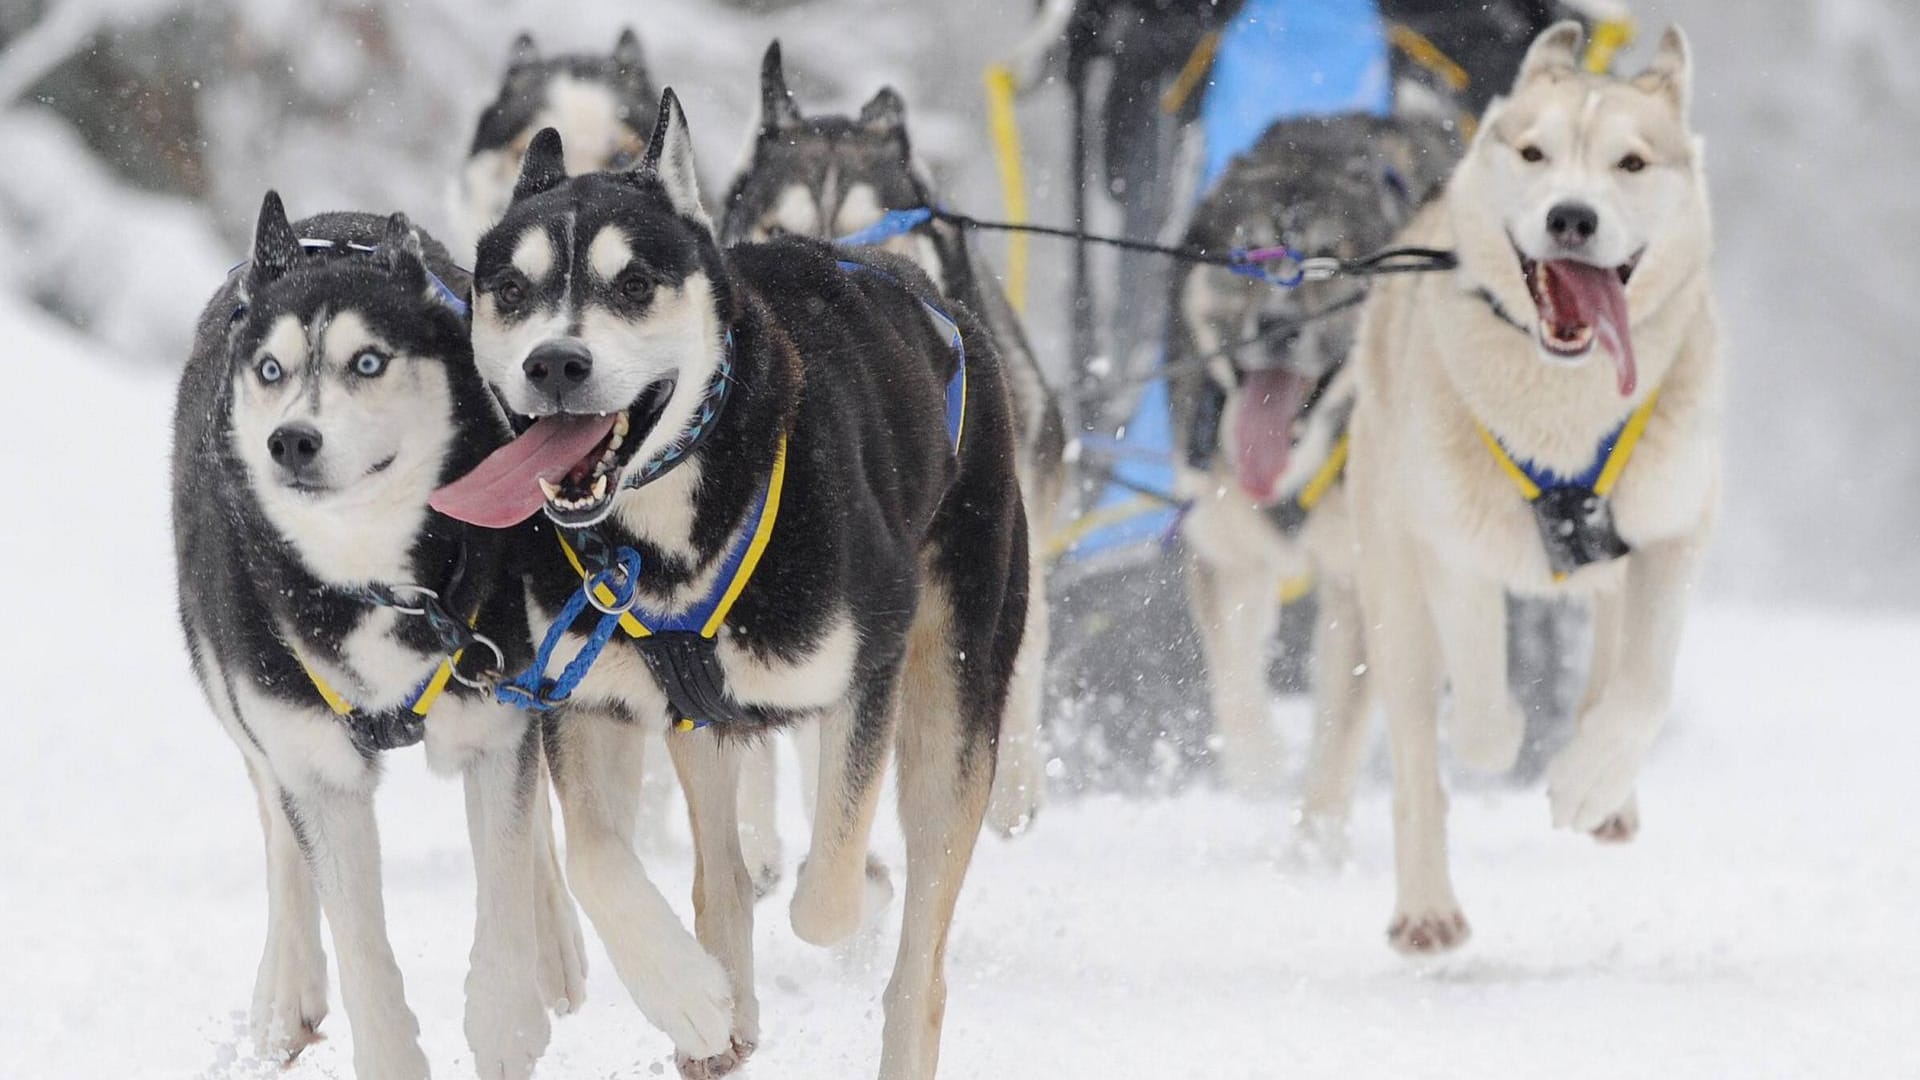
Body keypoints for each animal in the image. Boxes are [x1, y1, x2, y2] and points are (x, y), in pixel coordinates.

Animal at [175, 195, 587, 1076]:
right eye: (272, 370)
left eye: (367, 362)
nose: (292, 440)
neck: (370, 577)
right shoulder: (317, 772)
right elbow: (359, 946)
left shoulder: (492, 727)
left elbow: (505, 894)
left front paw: (508, 1022)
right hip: (240, 697)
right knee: (278, 831)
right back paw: (286, 991)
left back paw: (555, 947)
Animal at [432, 88, 1036, 1068]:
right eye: (513, 291)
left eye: (634, 284)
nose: (553, 363)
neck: (663, 536)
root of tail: (939, 306)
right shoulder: (582, 695)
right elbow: (600, 858)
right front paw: (687, 995)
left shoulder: (865, 672)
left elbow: (829, 891)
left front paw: (858, 887)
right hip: (697, 718)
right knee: (718, 864)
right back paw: (724, 1002)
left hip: (950, 692)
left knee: (917, 954)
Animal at [1344, 23, 1720, 949]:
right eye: (1534, 152)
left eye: (1631, 162)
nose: (1571, 216)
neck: (1561, 411)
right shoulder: (1452, 547)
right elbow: (1480, 699)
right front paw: (1499, 736)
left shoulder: (1673, 530)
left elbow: (1642, 688)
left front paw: (1589, 781)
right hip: (1391, 588)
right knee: (1417, 753)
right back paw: (1427, 909)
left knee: (1609, 655)